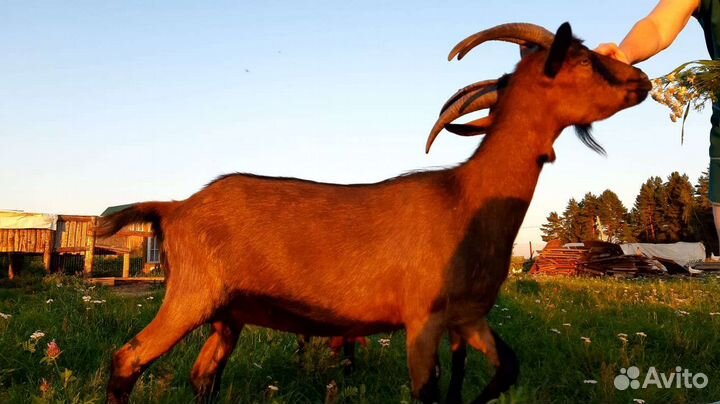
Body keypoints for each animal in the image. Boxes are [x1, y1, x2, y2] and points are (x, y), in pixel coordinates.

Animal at [98, 22, 650, 404]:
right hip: (191, 295)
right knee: (127, 359)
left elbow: (503, 369)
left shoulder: (468, 318)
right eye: (583, 60)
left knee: (203, 376)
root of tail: (176, 208)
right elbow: (427, 392)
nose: (641, 78)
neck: (464, 198)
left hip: (227, 316)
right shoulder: (423, 319)